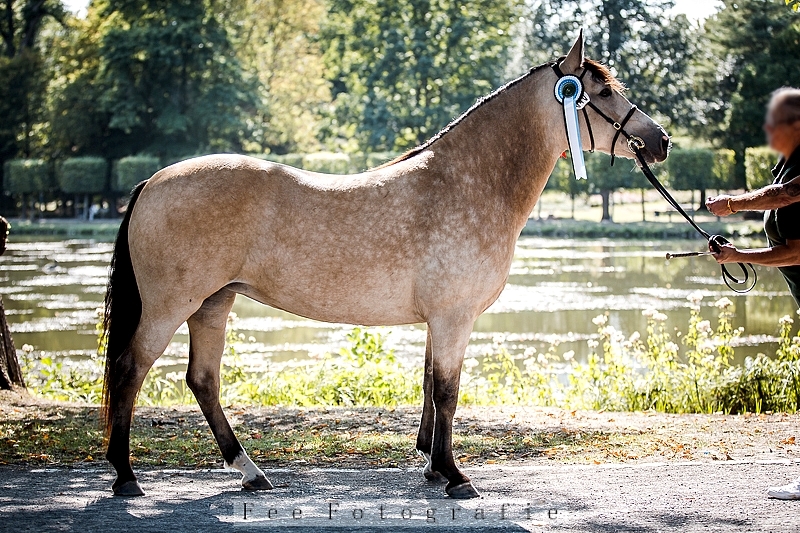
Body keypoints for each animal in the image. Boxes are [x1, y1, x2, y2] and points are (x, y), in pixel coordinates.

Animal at [100, 31, 669, 499]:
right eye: (601, 93)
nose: (660, 141)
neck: (466, 182)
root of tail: (152, 181)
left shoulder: (438, 321)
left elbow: (431, 388)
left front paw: (434, 468)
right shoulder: (454, 318)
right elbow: (448, 391)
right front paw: (455, 477)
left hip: (213, 304)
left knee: (203, 380)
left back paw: (250, 472)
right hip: (170, 306)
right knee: (130, 370)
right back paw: (126, 477)